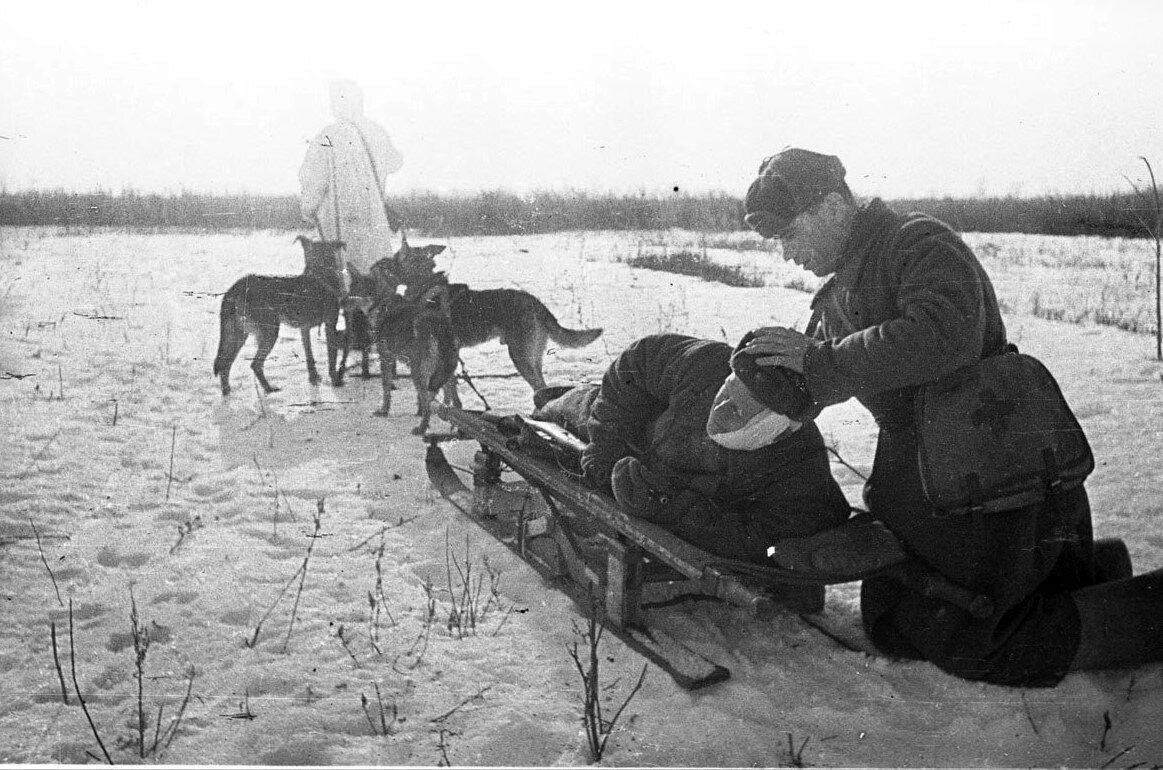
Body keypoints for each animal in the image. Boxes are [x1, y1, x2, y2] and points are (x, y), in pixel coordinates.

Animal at [213, 237, 346, 395]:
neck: (320, 275)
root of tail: (237, 287)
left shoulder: (304, 329)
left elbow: (309, 356)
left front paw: (313, 378)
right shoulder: (330, 325)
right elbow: (332, 358)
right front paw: (335, 381)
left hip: (238, 334)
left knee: (225, 363)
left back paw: (227, 393)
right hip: (269, 331)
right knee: (255, 364)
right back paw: (268, 389)